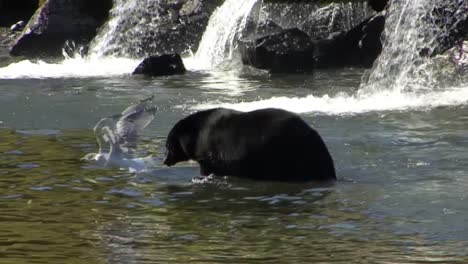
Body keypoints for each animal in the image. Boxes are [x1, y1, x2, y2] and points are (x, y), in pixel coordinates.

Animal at [163, 108, 334, 182]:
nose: (164, 160)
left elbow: (207, 169)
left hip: (287, 151)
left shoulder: (207, 153)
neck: (195, 135)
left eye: (168, 145)